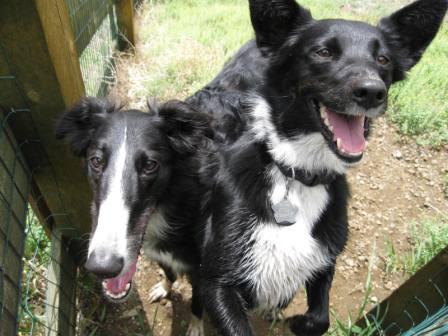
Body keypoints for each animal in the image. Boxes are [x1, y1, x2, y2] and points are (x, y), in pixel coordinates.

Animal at [55, 98, 212, 334]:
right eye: (96, 161)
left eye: (150, 164)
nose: (102, 268)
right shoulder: (158, 253)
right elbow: (168, 272)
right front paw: (164, 288)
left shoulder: (201, 269)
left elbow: (197, 302)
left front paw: (195, 327)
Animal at [187, 0, 446, 336]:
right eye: (323, 52)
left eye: (383, 59)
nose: (372, 92)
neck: (296, 177)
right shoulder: (218, 279)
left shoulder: (324, 260)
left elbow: (321, 318)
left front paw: (296, 321)